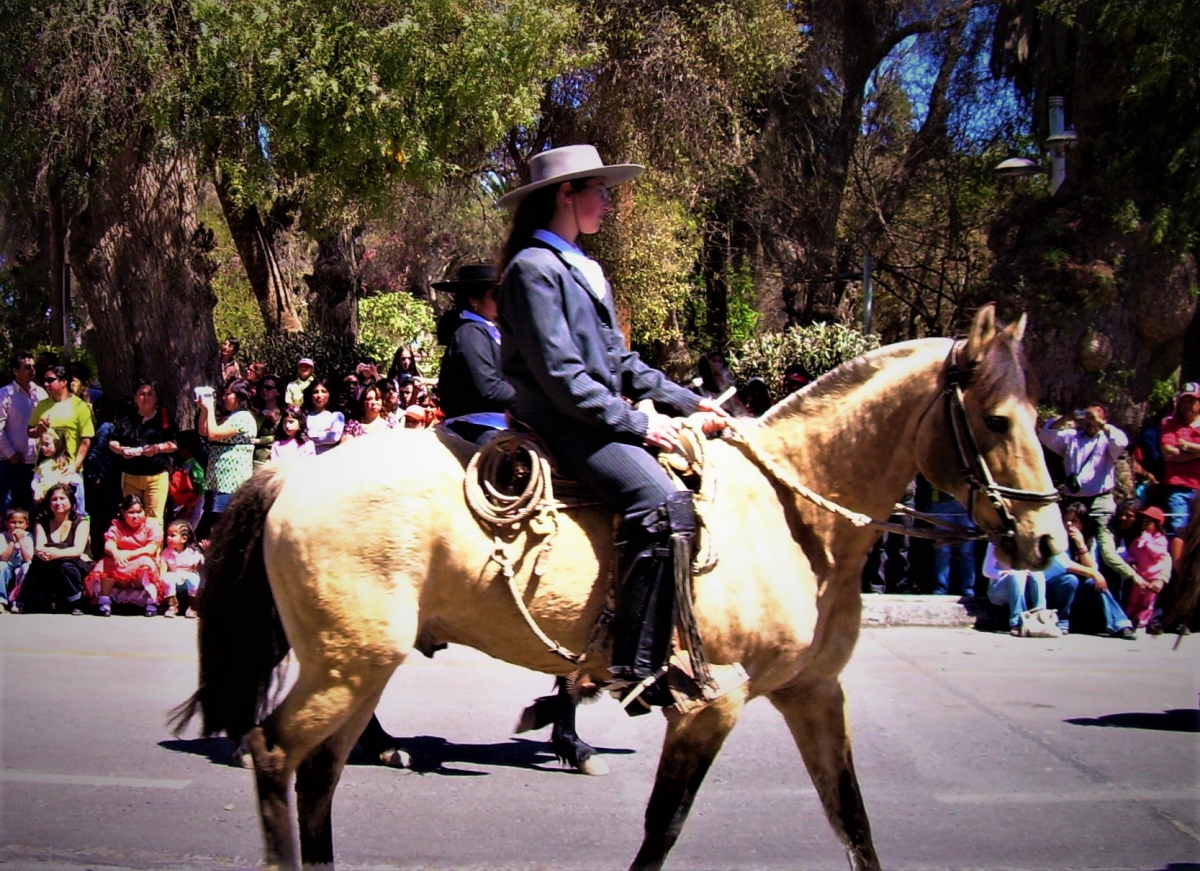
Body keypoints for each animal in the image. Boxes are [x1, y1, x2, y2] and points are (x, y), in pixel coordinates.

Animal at [174, 303, 1065, 868]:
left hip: (359, 665)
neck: (792, 513)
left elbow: (853, 819)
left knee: (319, 772)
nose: (1049, 539)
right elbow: (663, 825)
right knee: (275, 753)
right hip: (347, 661)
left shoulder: (814, 693)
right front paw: (560, 731)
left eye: (1038, 413)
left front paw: (559, 727)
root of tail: (292, 472)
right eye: (996, 419)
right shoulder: (711, 702)